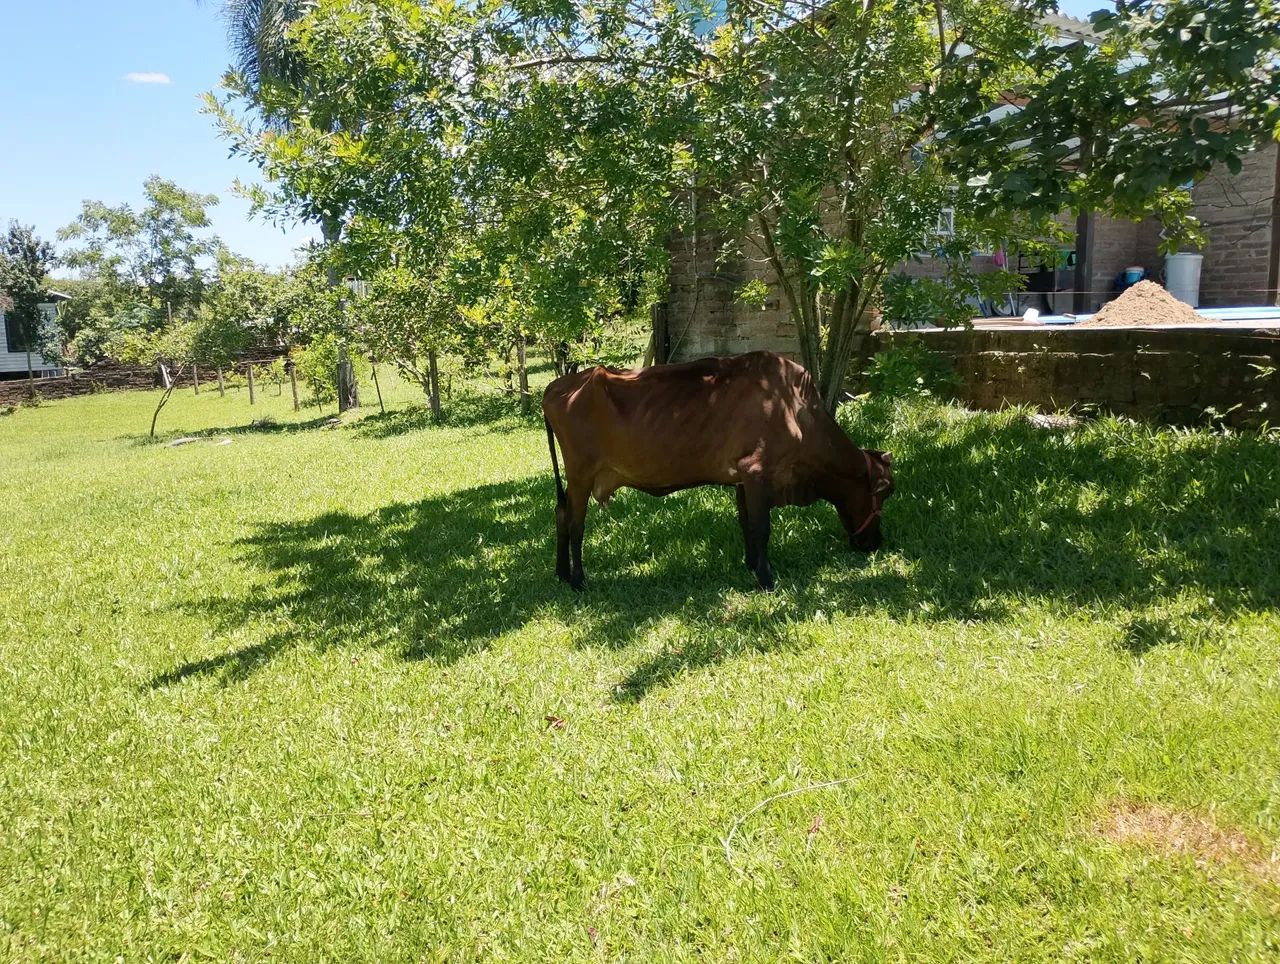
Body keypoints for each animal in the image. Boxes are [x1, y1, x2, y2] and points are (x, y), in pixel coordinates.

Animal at [541, 350, 895, 591]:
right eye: (885, 493)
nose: (875, 543)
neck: (797, 409)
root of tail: (558, 386)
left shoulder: (742, 478)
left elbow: (747, 524)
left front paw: (752, 565)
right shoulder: (757, 470)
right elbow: (761, 527)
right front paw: (767, 578)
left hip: (576, 478)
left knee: (561, 513)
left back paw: (561, 573)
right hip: (581, 473)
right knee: (576, 523)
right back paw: (578, 580)